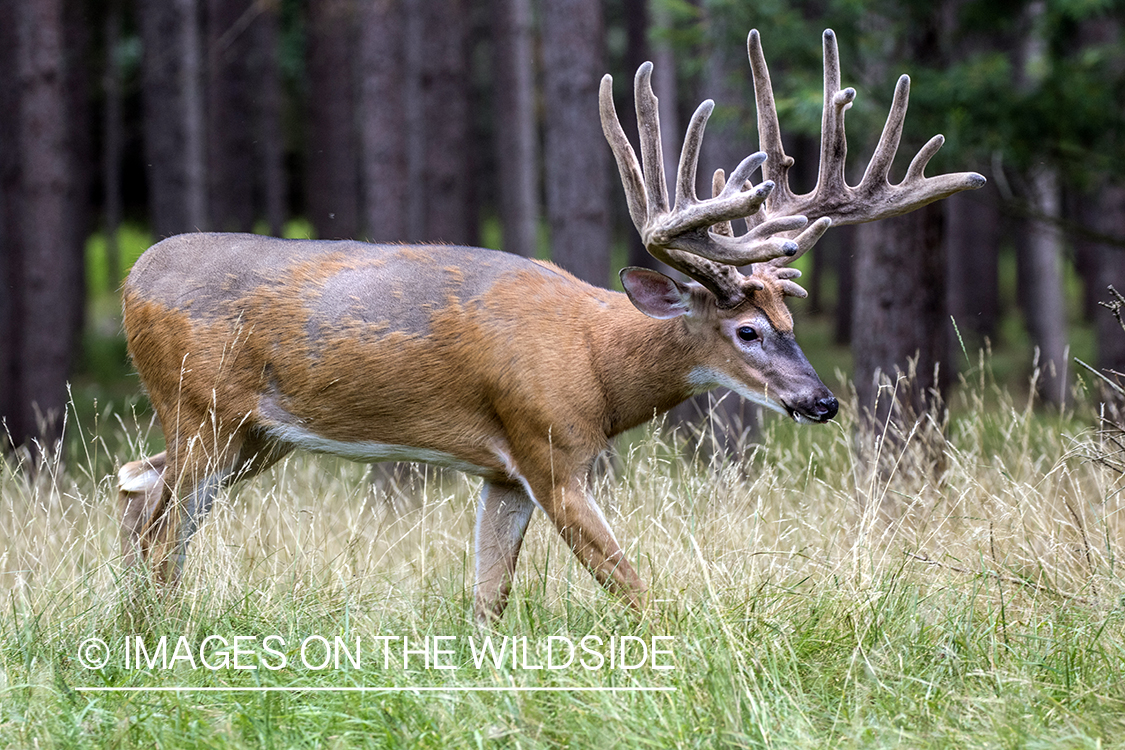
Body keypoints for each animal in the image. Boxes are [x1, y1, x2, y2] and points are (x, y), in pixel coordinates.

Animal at [118, 29, 985, 620]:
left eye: (786, 317)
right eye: (745, 331)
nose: (820, 401)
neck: (597, 363)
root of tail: (132, 279)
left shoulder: (503, 472)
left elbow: (488, 595)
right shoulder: (547, 446)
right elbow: (626, 579)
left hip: (255, 437)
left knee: (137, 489)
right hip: (202, 411)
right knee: (161, 523)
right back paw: (159, 631)